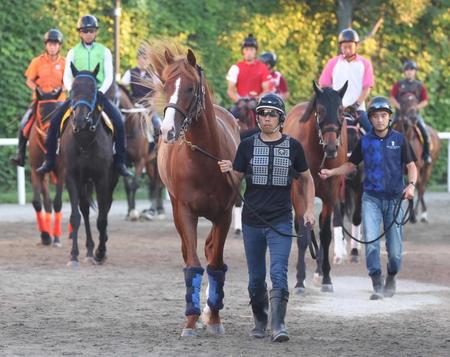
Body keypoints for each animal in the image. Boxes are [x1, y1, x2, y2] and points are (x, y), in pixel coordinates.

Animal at [57, 64, 118, 266]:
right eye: (73, 89)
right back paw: (90, 249)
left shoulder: (102, 178)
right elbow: (75, 216)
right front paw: (74, 255)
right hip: (84, 181)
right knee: (84, 208)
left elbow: (102, 218)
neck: (84, 141)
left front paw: (101, 252)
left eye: (93, 89)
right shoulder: (71, 177)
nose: (80, 120)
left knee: (106, 206)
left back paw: (99, 248)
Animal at [147, 43, 239, 336]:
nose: (167, 130)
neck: (203, 160)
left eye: (189, 87)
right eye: (165, 84)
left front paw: (214, 318)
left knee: (210, 251)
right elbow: (193, 264)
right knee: (190, 254)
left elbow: (215, 263)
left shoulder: (223, 214)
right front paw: (190, 320)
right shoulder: (185, 212)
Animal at [284, 81, 348, 292]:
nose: (331, 147)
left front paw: (326, 278)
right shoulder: (299, 191)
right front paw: (299, 281)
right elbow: (303, 234)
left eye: (341, 111)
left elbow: (326, 233)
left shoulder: (331, 193)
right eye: (319, 111)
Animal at [396, 91, 442, 222]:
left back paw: (421, 214)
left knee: (421, 187)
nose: (412, 118)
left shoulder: (416, 165)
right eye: (403, 102)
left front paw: (413, 215)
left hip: (428, 167)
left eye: (416, 101)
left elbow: (416, 187)